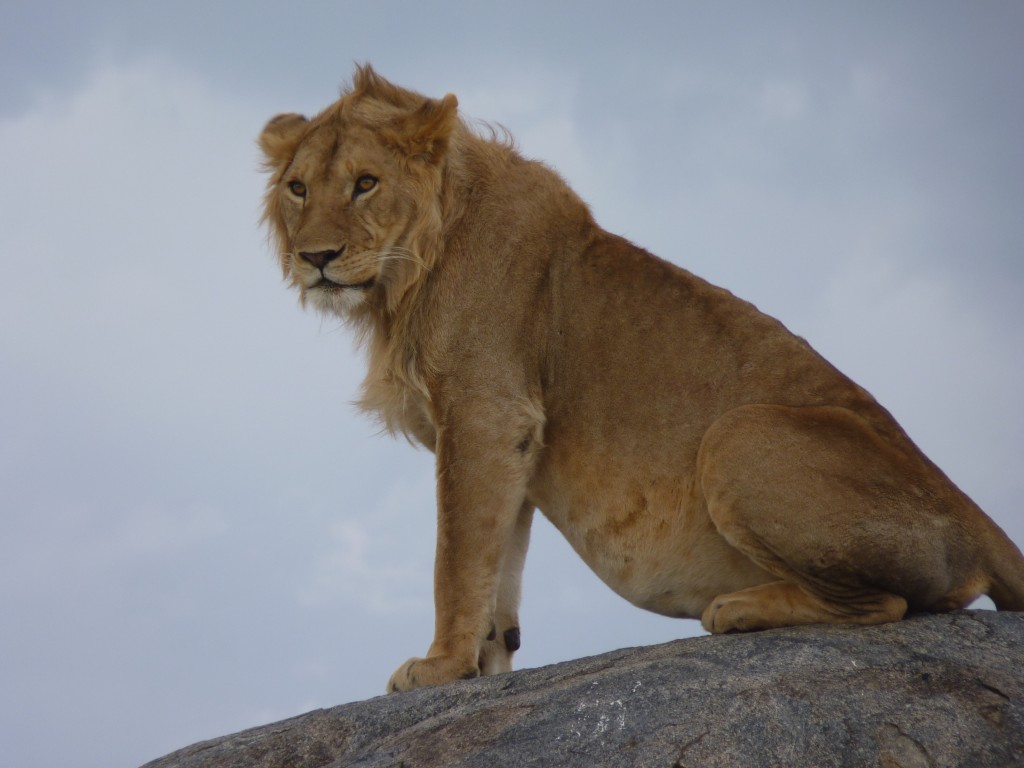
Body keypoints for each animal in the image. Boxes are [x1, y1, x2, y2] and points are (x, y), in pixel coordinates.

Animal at [259, 65, 1024, 693]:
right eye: (298, 189)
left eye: (366, 183)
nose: (315, 258)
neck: (406, 276)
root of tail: (976, 516)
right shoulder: (512, 437)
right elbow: (499, 564)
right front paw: (483, 664)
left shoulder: (484, 411)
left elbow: (457, 555)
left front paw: (440, 666)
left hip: (740, 435)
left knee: (891, 602)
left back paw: (738, 609)